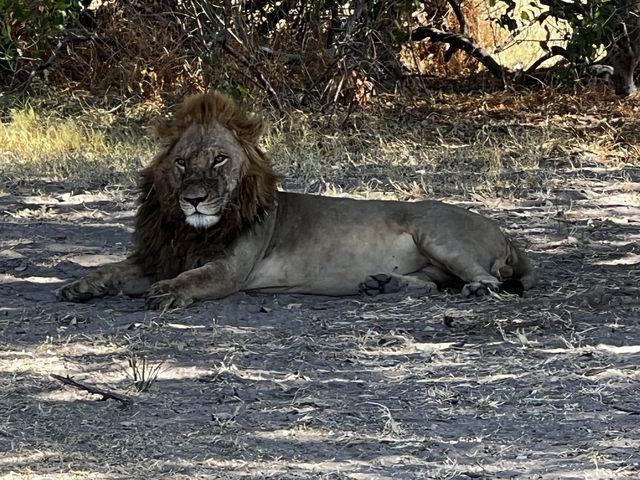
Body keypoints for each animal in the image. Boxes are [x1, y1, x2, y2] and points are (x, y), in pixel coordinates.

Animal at [57, 92, 537, 310]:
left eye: (218, 160)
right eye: (181, 163)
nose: (193, 200)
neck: (192, 231)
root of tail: (505, 232)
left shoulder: (230, 271)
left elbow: (194, 278)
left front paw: (169, 293)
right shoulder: (162, 255)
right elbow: (114, 269)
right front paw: (83, 285)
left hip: (437, 234)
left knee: (487, 280)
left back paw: (475, 288)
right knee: (435, 284)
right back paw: (383, 284)